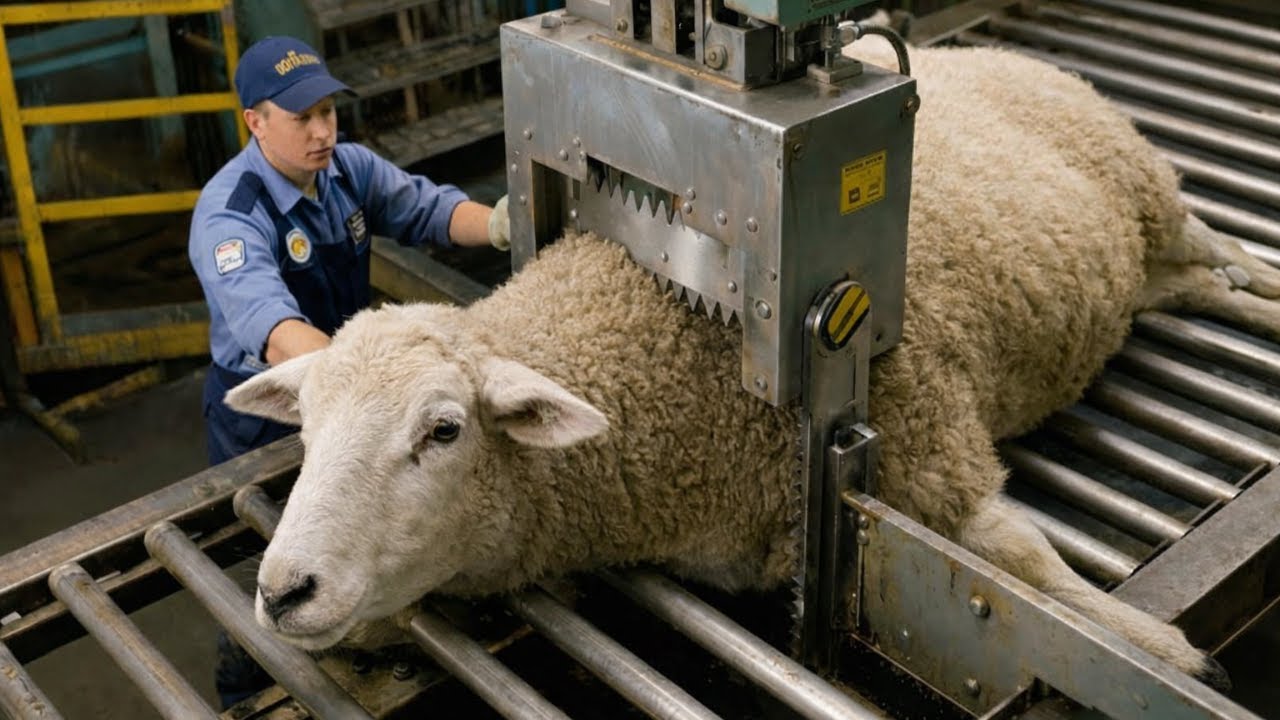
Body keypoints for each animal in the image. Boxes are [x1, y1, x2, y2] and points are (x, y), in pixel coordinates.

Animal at [224, 43, 1280, 690]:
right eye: (307, 430)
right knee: (1194, 285)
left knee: (1220, 249)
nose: (282, 592)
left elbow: (1020, 567)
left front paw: (1168, 655)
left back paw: (1265, 284)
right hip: (1131, 261)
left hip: (1144, 188)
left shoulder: (927, 438)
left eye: (443, 431)